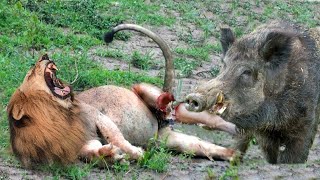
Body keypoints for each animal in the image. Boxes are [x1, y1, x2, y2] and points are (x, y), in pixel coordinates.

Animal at [6, 23, 238, 167]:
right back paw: (235, 153)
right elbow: (91, 153)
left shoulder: (99, 116)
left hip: (145, 91)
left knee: (179, 109)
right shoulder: (84, 144)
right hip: (168, 140)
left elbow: (117, 137)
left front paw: (135, 153)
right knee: (199, 143)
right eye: (31, 73)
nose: (44, 56)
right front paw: (109, 156)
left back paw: (166, 106)